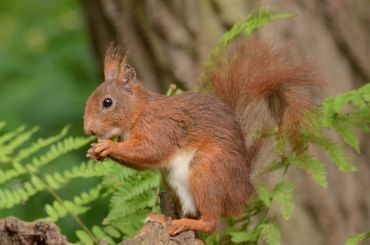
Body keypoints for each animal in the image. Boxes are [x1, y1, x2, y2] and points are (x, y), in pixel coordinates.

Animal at [84, 37, 318, 235]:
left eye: (107, 102)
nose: (89, 131)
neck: (139, 111)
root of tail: (241, 191)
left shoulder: (161, 127)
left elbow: (151, 150)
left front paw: (107, 147)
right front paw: (94, 151)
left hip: (205, 172)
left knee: (210, 222)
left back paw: (185, 224)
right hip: (172, 183)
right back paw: (164, 219)